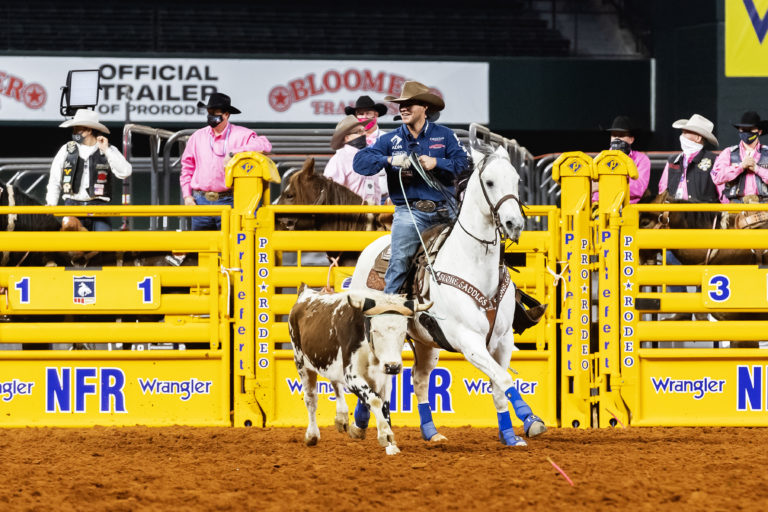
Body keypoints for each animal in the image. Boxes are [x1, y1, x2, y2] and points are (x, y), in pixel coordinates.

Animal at [290, 284, 432, 456]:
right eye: (375, 330)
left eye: (403, 331)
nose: (393, 366)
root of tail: (306, 293)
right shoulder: (351, 375)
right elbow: (374, 399)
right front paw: (385, 433)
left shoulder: (384, 377)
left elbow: (384, 405)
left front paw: (391, 446)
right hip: (301, 362)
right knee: (311, 399)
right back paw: (312, 435)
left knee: (335, 383)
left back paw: (342, 417)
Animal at [352, 143, 548, 444]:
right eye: (489, 182)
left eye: (516, 179)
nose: (514, 223)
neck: (474, 265)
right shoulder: (469, 341)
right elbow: (504, 379)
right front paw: (530, 419)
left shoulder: (502, 340)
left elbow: (499, 386)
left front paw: (514, 431)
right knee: (372, 370)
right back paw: (361, 421)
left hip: (425, 342)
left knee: (419, 379)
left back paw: (431, 432)